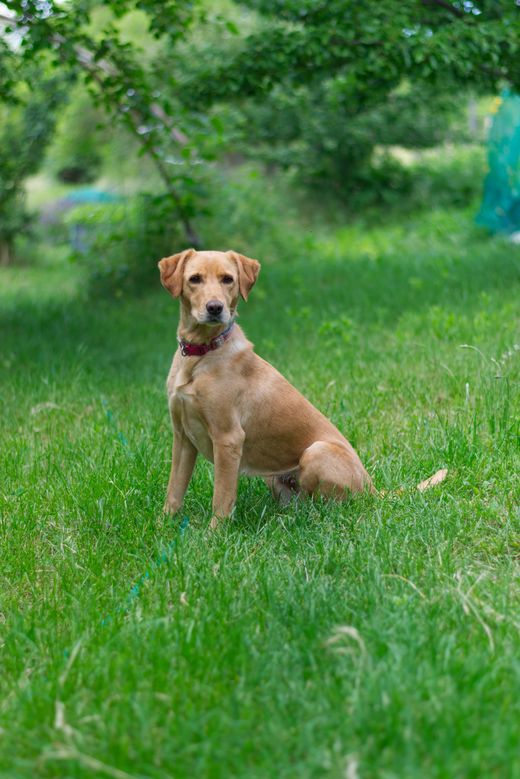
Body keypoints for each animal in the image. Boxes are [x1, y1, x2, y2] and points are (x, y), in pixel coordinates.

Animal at [159, 250, 446, 532]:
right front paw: (163, 526)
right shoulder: (182, 437)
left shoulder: (228, 438)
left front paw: (214, 536)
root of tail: (372, 488)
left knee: (327, 507)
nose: (215, 308)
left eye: (228, 279)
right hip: (274, 478)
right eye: (194, 279)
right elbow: (174, 490)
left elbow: (222, 497)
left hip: (316, 452)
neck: (200, 355)